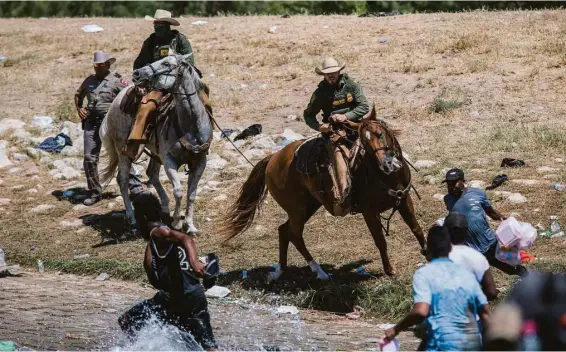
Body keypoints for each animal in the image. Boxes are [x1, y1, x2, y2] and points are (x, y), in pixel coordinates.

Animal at [98, 53, 212, 234]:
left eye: (166, 63)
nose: (137, 73)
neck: (190, 126)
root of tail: (115, 103)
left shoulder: (200, 161)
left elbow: (192, 194)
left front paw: (190, 225)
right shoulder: (169, 161)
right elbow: (179, 191)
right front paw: (177, 223)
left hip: (154, 152)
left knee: (151, 173)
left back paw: (164, 207)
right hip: (123, 152)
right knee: (122, 180)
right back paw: (132, 220)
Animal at [220, 106, 428, 280]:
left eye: (380, 133)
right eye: (365, 143)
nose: (387, 164)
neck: (384, 176)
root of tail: (272, 159)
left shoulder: (404, 200)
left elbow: (416, 229)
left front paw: (427, 253)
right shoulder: (369, 212)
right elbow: (380, 240)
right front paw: (389, 270)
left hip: (309, 206)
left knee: (284, 230)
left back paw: (280, 271)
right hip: (297, 209)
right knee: (295, 235)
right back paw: (319, 272)